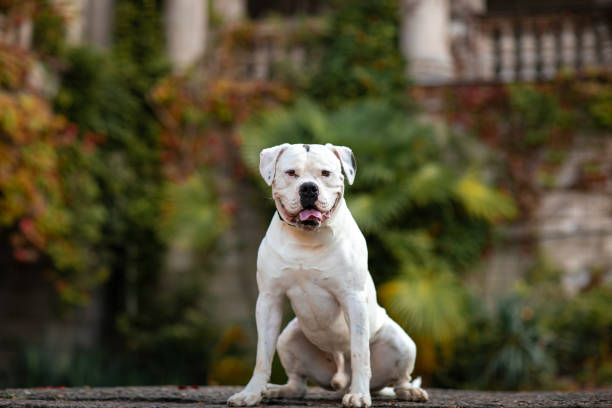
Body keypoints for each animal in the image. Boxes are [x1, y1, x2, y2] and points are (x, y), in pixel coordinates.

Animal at [227, 143, 428, 408]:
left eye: (325, 173)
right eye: (291, 173)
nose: (308, 188)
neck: (307, 238)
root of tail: (341, 381)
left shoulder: (353, 299)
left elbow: (360, 353)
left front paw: (360, 395)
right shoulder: (269, 299)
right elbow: (262, 355)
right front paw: (250, 393)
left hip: (401, 343)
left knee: (400, 378)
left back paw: (407, 392)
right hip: (288, 338)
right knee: (298, 384)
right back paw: (276, 391)